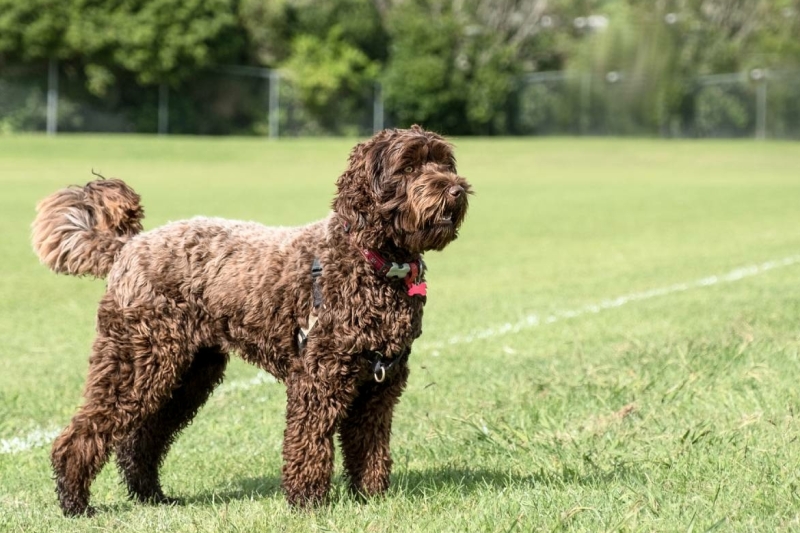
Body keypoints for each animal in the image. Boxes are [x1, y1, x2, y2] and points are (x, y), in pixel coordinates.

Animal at [29, 125, 468, 516]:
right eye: (408, 167)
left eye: (444, 162)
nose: (456, 189)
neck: (371, 262)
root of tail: (128, 245)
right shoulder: (318, 378)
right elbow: (309, 442)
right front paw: (308, 502)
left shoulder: (380, 385)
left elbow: (370, 446)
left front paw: (371, 497)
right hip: (135, 362)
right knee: (84, 434)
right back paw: (75, 503)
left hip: (188, 374)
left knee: (142, 440)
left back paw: (151, 496)